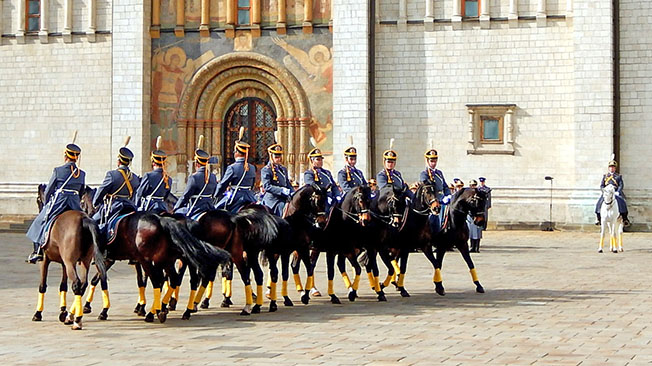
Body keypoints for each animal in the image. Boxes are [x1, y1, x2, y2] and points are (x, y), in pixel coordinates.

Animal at [33, 184, 106, 330]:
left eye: (38, 200)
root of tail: (84, 219)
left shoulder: (44, 260)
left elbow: (42, 285)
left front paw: (38, 313)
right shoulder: (64, 263)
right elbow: (63, 286)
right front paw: (63, 311)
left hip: (70, 262)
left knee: (77, 284)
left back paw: (76, 320)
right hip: (84, 261)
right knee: (83, 284)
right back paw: (73, 316)